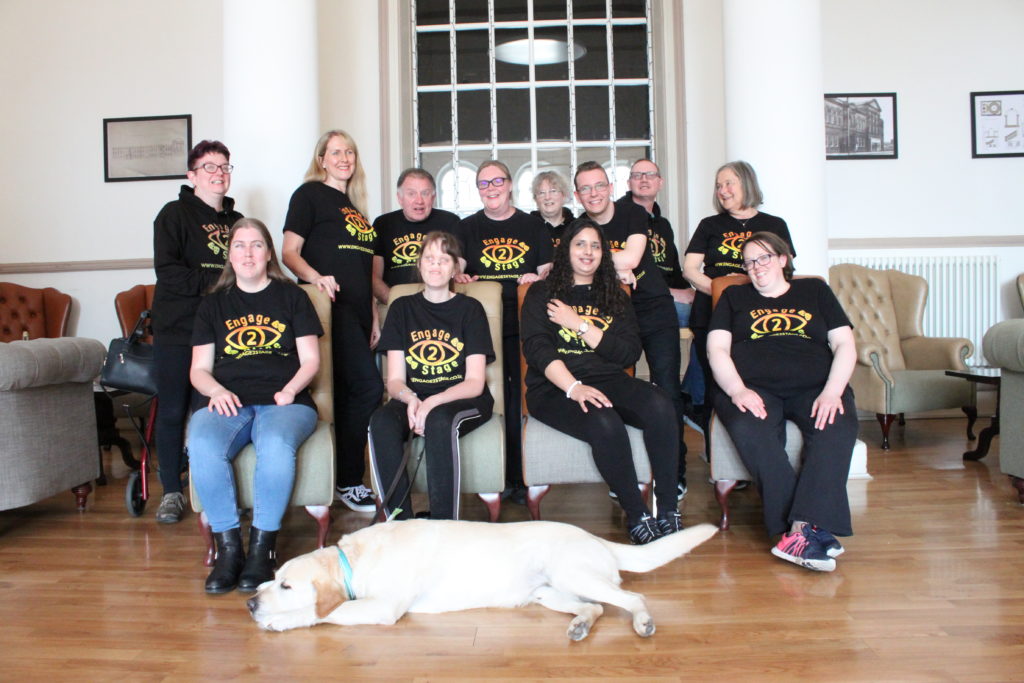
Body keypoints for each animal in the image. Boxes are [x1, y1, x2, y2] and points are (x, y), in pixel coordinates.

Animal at [247, 520, 716, 638]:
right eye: (272, 577)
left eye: (287, 585)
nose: (250, 602)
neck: (355, 560)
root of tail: (595, 537)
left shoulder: (382, 607)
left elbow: (325, 611)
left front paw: (280, 620)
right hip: (547, 592)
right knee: (596, 608)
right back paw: (580, 625)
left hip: (572, 571)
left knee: (631, 597)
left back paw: (643, 622)